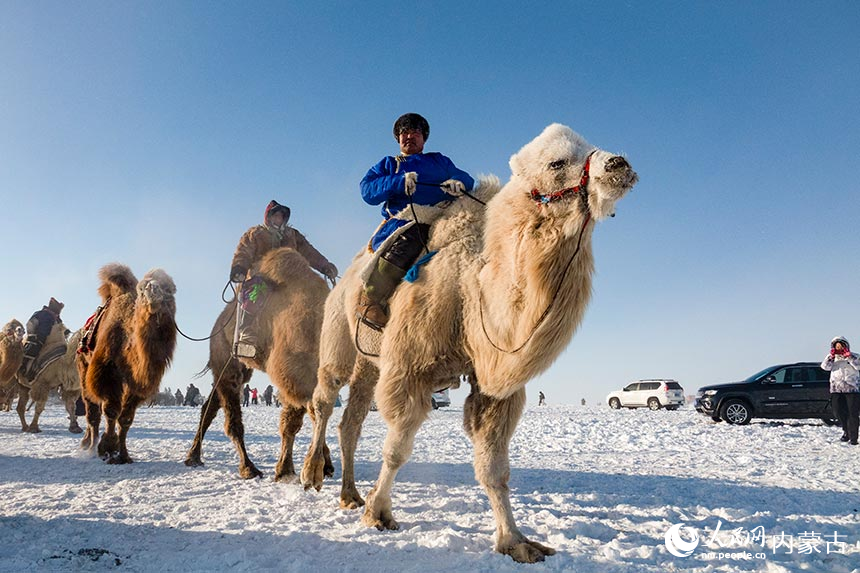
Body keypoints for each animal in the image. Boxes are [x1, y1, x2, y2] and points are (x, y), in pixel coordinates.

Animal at [78, 264, 177, 464]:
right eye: (142, 288)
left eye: (169, 289)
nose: (153, 289)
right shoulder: (106, 373)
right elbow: (110, 411)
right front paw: (107, 449)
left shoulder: (136, 384)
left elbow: (125, 419)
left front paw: (123, 454)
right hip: (83, 367)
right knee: (92, 410)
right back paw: (90, 446)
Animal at [183, 247, 334, 482]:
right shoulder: (290, 371)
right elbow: (301, 417)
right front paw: (289, 469)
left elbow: (301, 417)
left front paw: (312, 466)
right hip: (226, 362)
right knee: (232, 418)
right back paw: (248, 467)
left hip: (234, 370)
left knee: (210, 406)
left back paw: (194, 457)